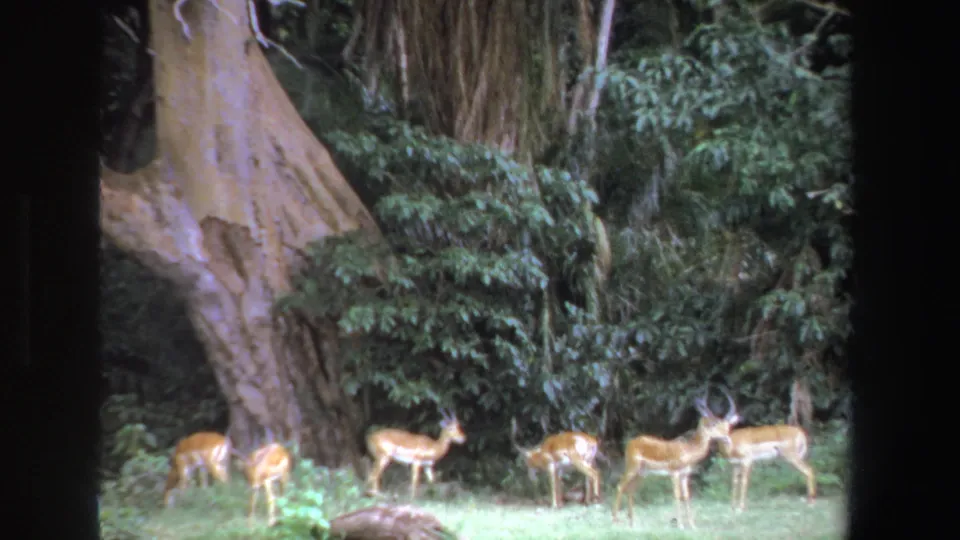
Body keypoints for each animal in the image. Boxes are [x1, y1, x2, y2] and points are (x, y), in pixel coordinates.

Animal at [612, 389, 740, 529]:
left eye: (728, 426)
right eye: (713, 424)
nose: (727, 439)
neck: (688, 450)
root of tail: (630, 443)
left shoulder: (685, 474)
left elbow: (686, 496)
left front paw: (692, 526)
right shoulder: (674, 473)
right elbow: (677, 495)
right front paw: (680, 525)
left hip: (642, 473)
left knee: (630, 490)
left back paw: (632, 523)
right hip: (632, 467)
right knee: (620, 486)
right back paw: (615, 521)